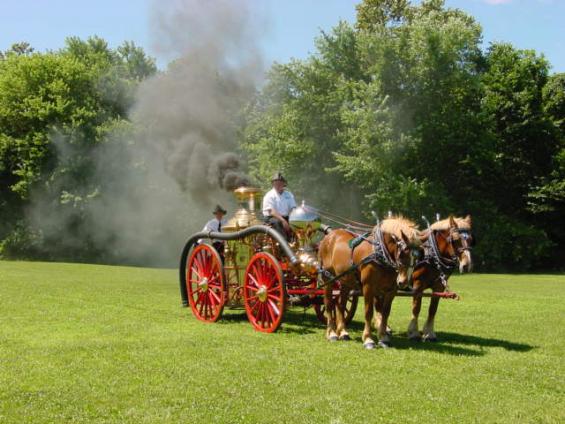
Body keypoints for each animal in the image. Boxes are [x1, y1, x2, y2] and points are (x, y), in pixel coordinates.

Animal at [320, 217, 420, 350]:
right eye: (402, 253)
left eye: (417, 257)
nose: (403, 282)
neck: (379, 253)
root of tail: (329, 236)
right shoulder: (368, 287)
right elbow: (368, 312)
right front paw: (368, 339)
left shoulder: (391, 290)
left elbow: (385, 313)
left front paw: (383, 338)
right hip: (327, 278)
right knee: (329, 304)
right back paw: (331, 333)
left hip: (345, 281)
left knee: (340, 305)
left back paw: (343, 332)